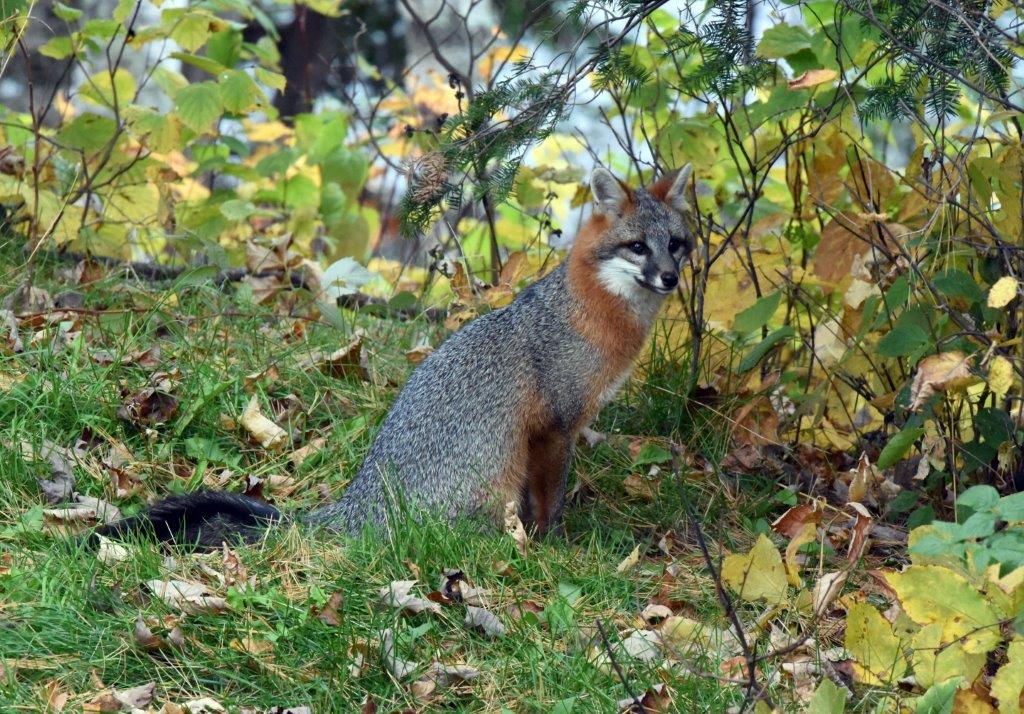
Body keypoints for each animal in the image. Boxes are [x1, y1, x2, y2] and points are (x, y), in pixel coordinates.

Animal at [97, 165, 694, 548]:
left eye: (676, 245)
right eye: (637, 247)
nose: (669, 277)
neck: (590, 314)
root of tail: (361, 503)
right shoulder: (553, 427)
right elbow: (548, 503)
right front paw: (553, 546)